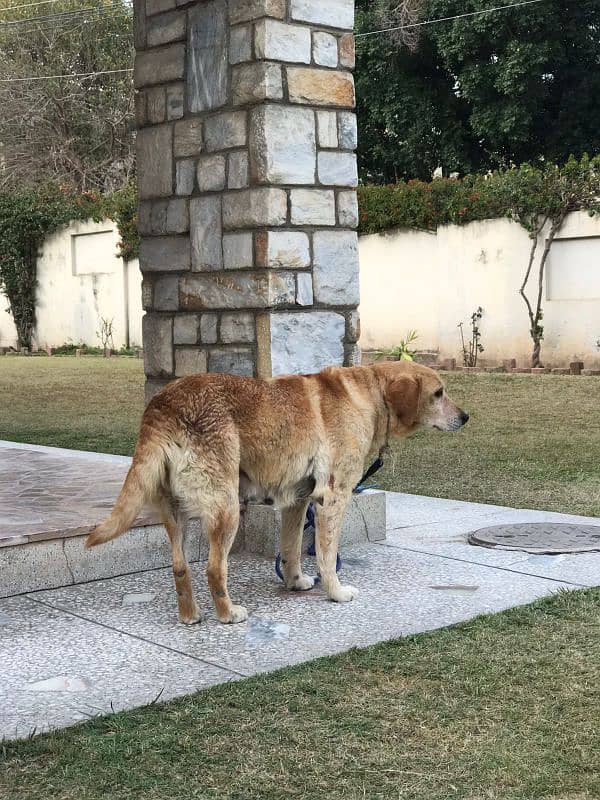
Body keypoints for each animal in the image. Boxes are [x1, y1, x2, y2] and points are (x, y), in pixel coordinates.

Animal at [86, 360, 468, 624]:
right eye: (438, 393)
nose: (465, 417)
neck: (371, 393)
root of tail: (163, 405)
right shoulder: (332, 500)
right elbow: (327, 556)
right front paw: (336, 592)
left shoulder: (297, 502)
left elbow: (291, 550)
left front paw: (295, 582)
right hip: (226, 508)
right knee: (213, 569)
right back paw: (228, 614)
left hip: (175, 514)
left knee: (180, 568)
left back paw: (190, 616)